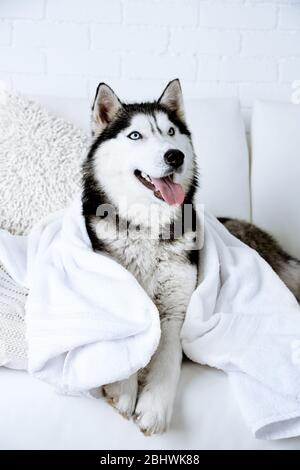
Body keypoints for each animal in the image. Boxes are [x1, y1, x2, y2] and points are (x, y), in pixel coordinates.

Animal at [82, 79, 300, 436]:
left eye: (171, 131)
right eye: (135, 135)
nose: (175, 155)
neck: (148, 228)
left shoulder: (176, 312)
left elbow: (169, 357)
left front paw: (154, 407)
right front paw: (124, 386)